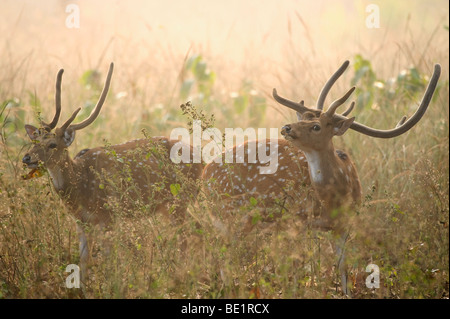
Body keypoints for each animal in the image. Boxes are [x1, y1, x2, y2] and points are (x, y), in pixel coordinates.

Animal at [22, 62, 203, 284]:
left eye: (52, 144)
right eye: (34, 141)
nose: (27, 158)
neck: (80, 188)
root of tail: (202, 159)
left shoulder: (108, 215)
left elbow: (108, 257)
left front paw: (111, 284)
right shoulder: (81, 222)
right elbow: (83, 259)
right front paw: (83, 287)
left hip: (179, 200)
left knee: (186, 236)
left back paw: (183, 274)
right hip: (169, 206)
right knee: (196, 229)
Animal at [202, 61, 442, 296]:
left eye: (315, 126)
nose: (286, 127)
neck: (335, 198)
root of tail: (205, 175)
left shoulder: (344, 225)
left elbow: (343, 269)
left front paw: (345, 292)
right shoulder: (296, 218)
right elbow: (297, 267)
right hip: (230, 214)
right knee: (222, 254)